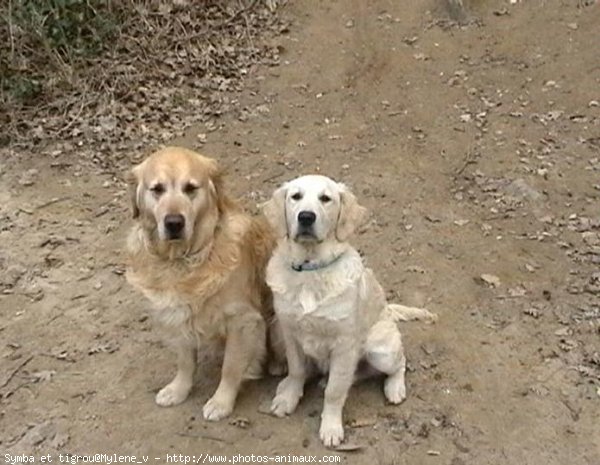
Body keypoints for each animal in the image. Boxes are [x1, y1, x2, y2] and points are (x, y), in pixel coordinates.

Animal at [127, 146, 278, 420]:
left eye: (190, 188)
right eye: (157, 189)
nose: (174, 223)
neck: (183, 260)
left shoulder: (242, 319)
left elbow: (231, 367)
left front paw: (221, 402)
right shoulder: (178, 313)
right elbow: (185, 360)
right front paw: (178, 389)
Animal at [262, 174, 436, 446]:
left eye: (326, 198)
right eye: (295, 197)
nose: (306, 217)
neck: (311, 269)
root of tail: (388, 310)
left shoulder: (344, 344)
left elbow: (335, 391)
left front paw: (331, 427)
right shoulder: (290, 333)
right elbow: (297, 369)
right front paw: (288, 397)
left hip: (379, 350)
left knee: (397, 364)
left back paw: (395, 388)